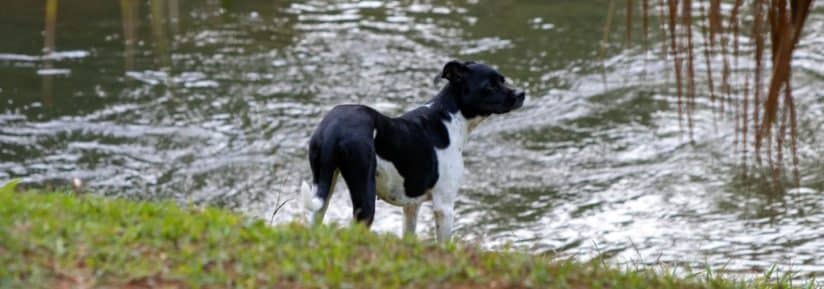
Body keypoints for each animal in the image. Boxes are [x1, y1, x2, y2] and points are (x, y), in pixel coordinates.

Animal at [300, 59, 524, 240]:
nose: (522, 94)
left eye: (502, 80)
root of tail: (333, 128)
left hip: (323, 189)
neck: (449, 117)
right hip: (364, 199)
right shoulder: (444, 206)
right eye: (491, 85)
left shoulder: (411, 207)